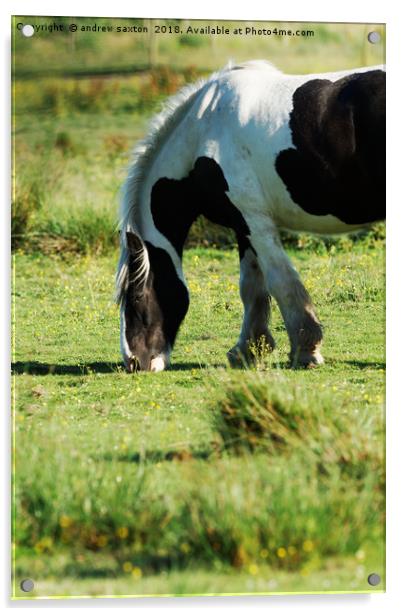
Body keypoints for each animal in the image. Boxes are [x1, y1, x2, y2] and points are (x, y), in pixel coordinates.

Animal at [115, 60, 384, 372]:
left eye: (135, 296)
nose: (134, 362)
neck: (204, 133)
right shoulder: (242, 225)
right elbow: (252, 286)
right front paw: (248, 349)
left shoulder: (255, 221)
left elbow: (280, 281)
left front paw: (306, 349)